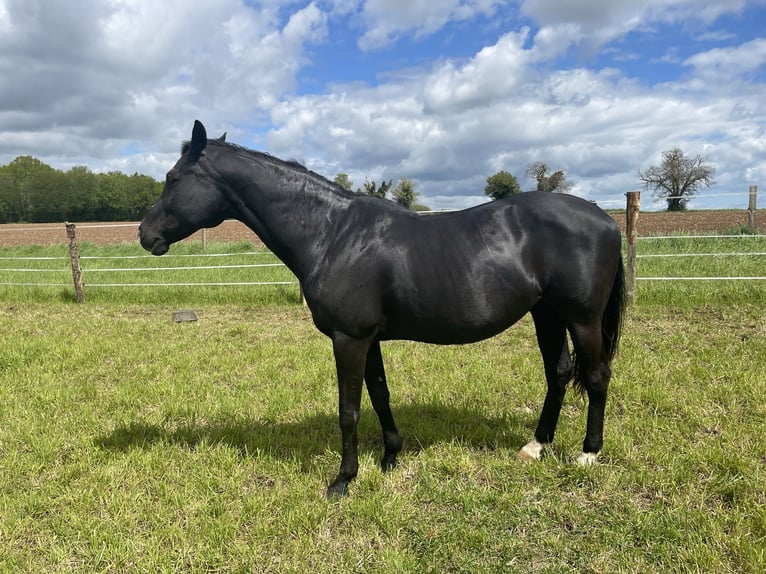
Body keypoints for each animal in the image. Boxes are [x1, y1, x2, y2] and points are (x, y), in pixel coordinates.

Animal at [141, 121, 628, 500]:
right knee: (559, 373)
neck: (332, 233)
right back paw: (535, 447)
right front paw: (390, 456)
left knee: (596, 376)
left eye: (173, 178)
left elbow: (349, 409)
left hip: (582, 318)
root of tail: (606, 219)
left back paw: (587, 453)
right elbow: (379, 395)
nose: (145, 234)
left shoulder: (349, 339)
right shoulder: (367, 338)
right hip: (546, 314)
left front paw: (343, 480)